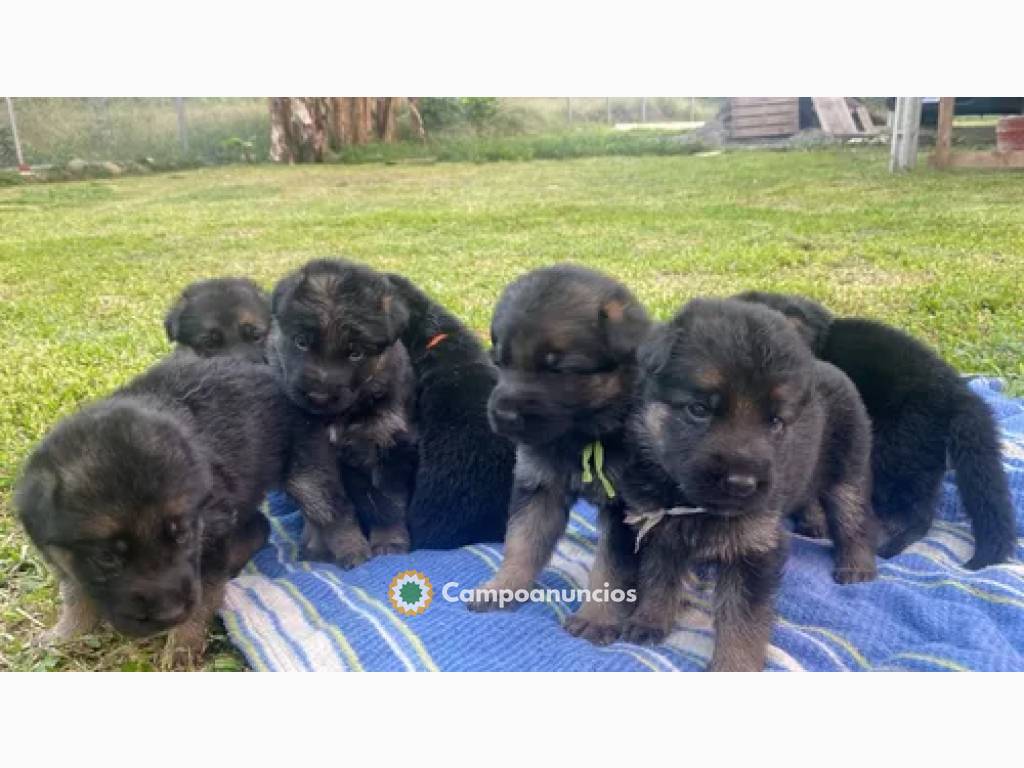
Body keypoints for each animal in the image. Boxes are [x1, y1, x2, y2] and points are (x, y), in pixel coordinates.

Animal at [16, 358, 296, 663]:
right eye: (106, 558)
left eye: (182, 535)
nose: (171, 614)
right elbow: (75, 591)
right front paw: (66, 633)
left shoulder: (212, 535)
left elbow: (204, 594)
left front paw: (183, 646)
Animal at [272, 262, 419, 569]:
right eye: (301, 342)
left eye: (356, 353)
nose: (319, 396)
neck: (340, 417)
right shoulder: (310, 456)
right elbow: (331, 509)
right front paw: (347, 547)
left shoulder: (388, 443)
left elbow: (386, 503)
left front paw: (389, 542)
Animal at [468, 264, 651, 638]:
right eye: (500, 362)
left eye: (559, 369)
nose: (503, 416)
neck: (583, 435)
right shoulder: (540, 489)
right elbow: (521, 543)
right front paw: (503, 587)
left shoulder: (625, 509)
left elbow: (611, 568)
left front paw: (597, 617)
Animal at [585, 296, 880, 671]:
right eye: (698, 409)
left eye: (775, 421)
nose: (742, 483)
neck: (689, 501)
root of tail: (831, 367)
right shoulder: (660, 529)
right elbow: (659, 578)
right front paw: (650, 621)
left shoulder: (754, 548)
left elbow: (741, 620)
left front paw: (733, 667)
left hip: (847, 473)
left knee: (853, 518)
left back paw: (856, 566)